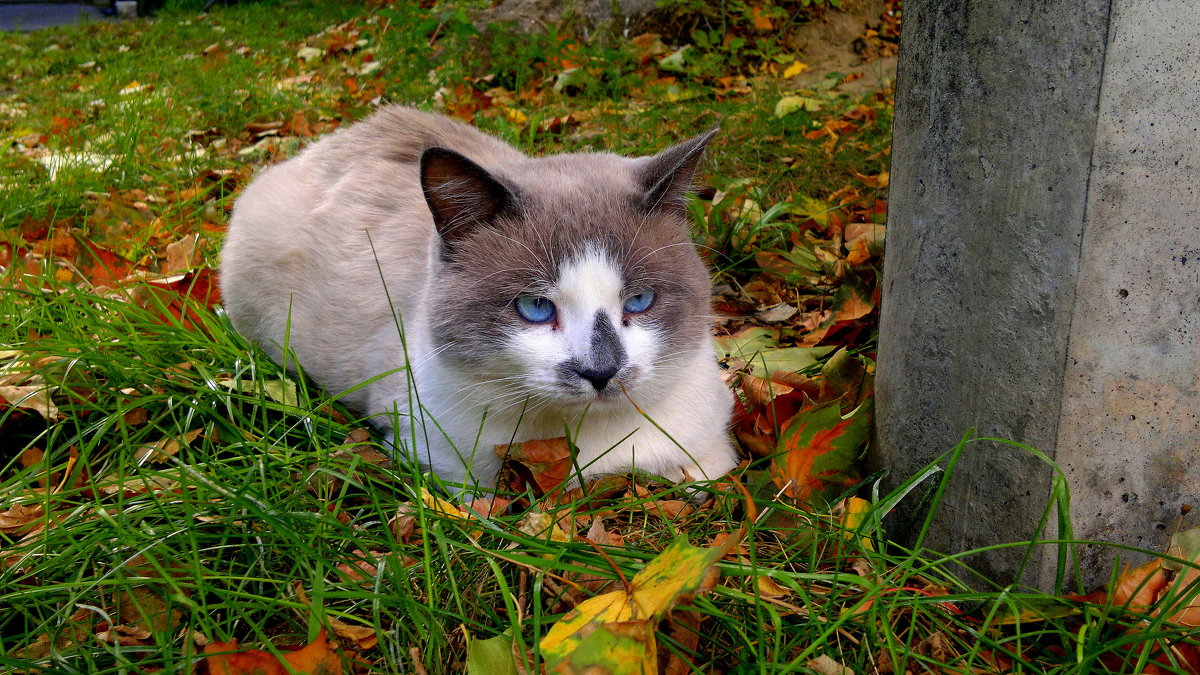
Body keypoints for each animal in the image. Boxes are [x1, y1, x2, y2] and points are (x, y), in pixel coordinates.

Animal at [220, 107, 734, 492]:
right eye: (535, 308)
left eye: (640, 300)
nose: (601, 372)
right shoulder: (436, 457)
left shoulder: (708, 452)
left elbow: (700, 477)